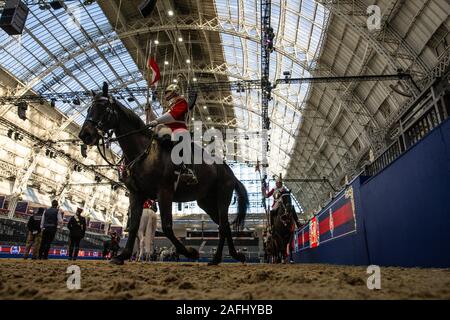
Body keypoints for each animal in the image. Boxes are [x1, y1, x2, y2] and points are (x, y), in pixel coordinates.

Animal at [80, 82, 250, 264]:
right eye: (89, 107)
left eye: (103, 107)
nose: (85, 134)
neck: (144, 153)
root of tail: (229, 172)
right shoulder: (136, 194)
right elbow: (133, 226)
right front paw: (122, 256)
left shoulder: (165, 192)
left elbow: (167, 227)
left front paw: (190, 252)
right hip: (206, 202)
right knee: (223, 226)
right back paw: (227, 257)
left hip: (222, 198)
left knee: (223, 226)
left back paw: (221, 257)